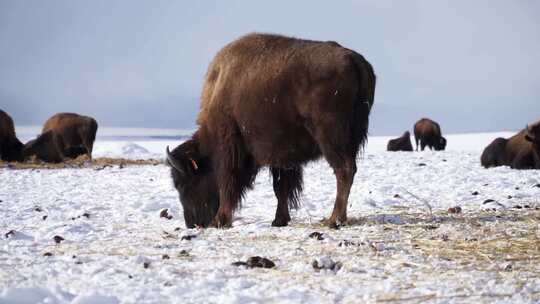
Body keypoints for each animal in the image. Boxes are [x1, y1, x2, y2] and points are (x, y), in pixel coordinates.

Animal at [166, 33, 376, 228]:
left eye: (182, 183)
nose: (191, 223)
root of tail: (354, 59)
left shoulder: (229, 148)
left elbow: (227, 182)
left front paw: (220, 220)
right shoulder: (282, 156)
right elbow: (280, 187)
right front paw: (279, 220)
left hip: (330, 136)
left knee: (344, 169)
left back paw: (334, 220)